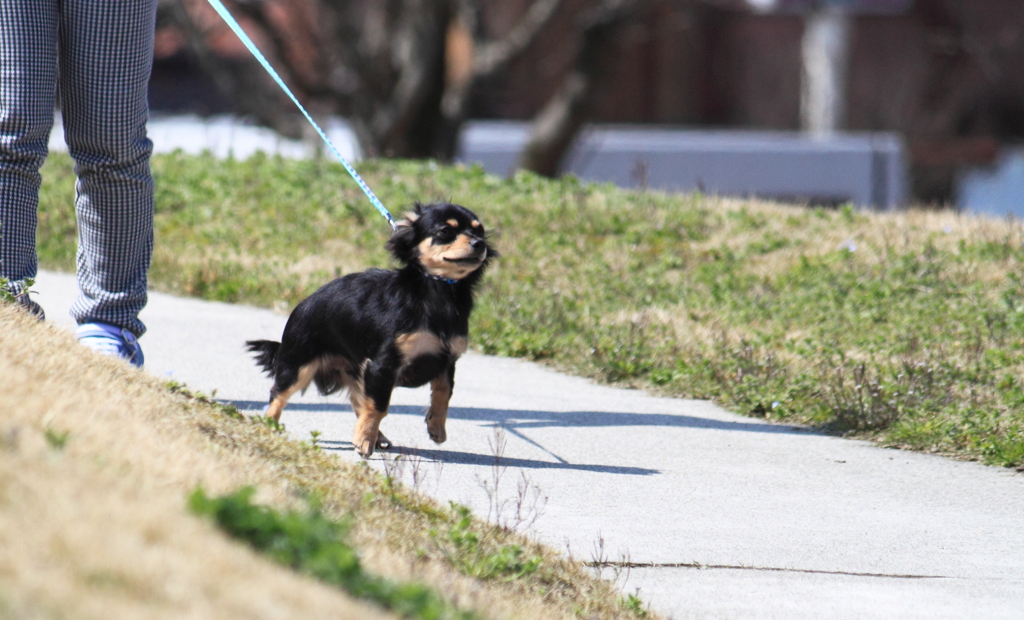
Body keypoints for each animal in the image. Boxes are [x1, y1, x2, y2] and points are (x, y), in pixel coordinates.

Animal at [243, 201, 491, 455]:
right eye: (445, 230)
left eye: (480, 231)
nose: (479, 244)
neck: (439, 289)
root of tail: (302, 304)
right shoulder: (383, 366)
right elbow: (379, 406)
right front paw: (364, 440)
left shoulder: (446, 360)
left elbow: (443, 393)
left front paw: (436, 426)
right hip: (298, 365)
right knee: (278, 395)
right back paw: (271, 424)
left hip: (354, 372)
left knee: (358, 401)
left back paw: (376, 435)